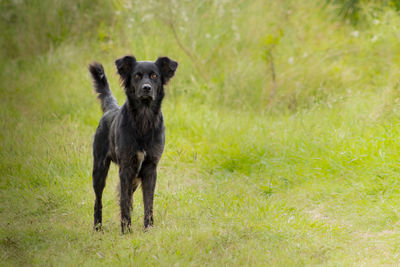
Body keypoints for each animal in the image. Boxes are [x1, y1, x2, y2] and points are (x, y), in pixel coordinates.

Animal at [90, 55, 179, 233]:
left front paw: (148, 228)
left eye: (154, 76)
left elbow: (148, 202)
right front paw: (126, 231)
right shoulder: (126, 167)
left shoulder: (150, 168)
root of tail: (111, 109)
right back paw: (97, 227)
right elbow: (124, 201)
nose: (146, 88)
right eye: (137, 76)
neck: (144, 119)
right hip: (99, 169)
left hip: (135, 178)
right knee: (98, 200)